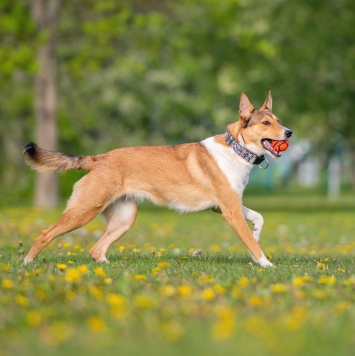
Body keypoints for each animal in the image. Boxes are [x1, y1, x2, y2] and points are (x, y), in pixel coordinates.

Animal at [23, 92, 294, 268]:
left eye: (278, 120)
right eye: (266, 122)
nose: (289, 132)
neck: (237, 150)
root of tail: (98, 158)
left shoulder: (226, 205)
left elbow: (258, 218)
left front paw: (256, 234)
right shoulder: (230, 210)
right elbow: (251, 243)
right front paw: (266, 265)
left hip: (125, 218)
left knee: (96, 250)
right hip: (84, 210)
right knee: (46, 233)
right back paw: (26, 263)